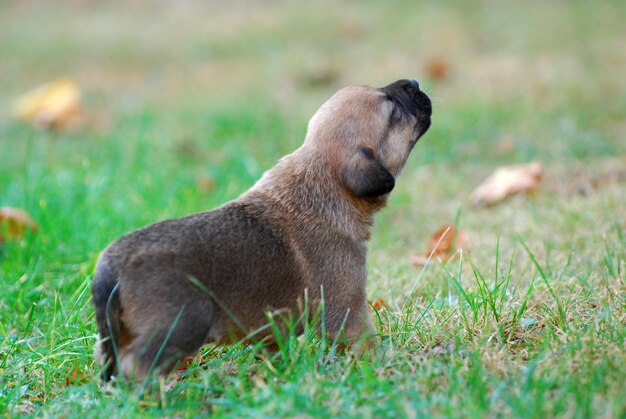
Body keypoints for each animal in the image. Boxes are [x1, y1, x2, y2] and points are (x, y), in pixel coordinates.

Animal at [92, 78, 432, 380]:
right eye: (392, 109)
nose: (414, 82)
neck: (324, 181)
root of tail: (110, 267)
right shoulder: (346, 310)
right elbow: (364, 342)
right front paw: (386, 365)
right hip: (181, 325)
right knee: (138, 365)